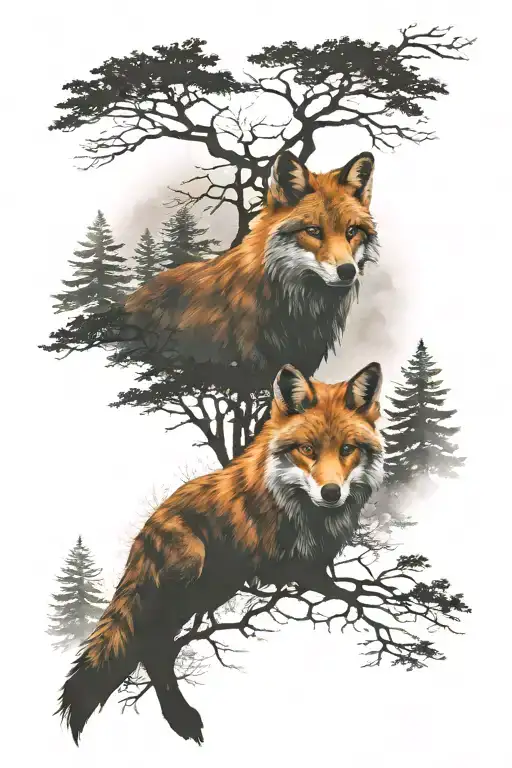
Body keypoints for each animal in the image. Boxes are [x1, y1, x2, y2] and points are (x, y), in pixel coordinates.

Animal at [57, 361, 384, 746]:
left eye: (347, 449)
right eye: (307, 449)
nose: (331, 492)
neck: (304, 512)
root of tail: (145, 531)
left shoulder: (316, 561)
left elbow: (333, 582)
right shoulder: (284, 564)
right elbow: (330, 586)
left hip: (215, 587)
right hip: (193, 574)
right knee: (153, 647)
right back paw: (181, 718)